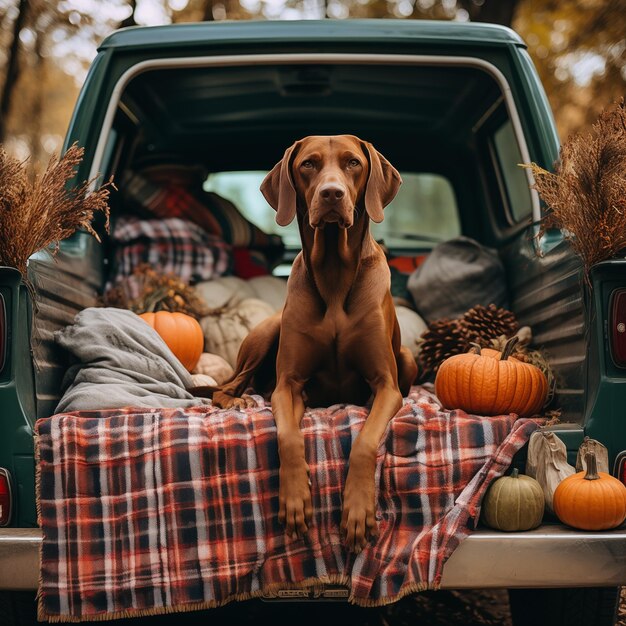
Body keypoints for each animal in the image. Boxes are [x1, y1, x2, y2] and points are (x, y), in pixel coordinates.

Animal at [212, 134, 416, 548]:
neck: (335, 273)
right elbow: (288, 437)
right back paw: (238, 400)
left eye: (353, 162)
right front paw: (294, 500)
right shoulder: (287, 386)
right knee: (223, 386)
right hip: (267, 331)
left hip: (406, 357)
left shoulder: (387, 386)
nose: (332, 193)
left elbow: (365, 440)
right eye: (308, 164)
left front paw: (358, 511)